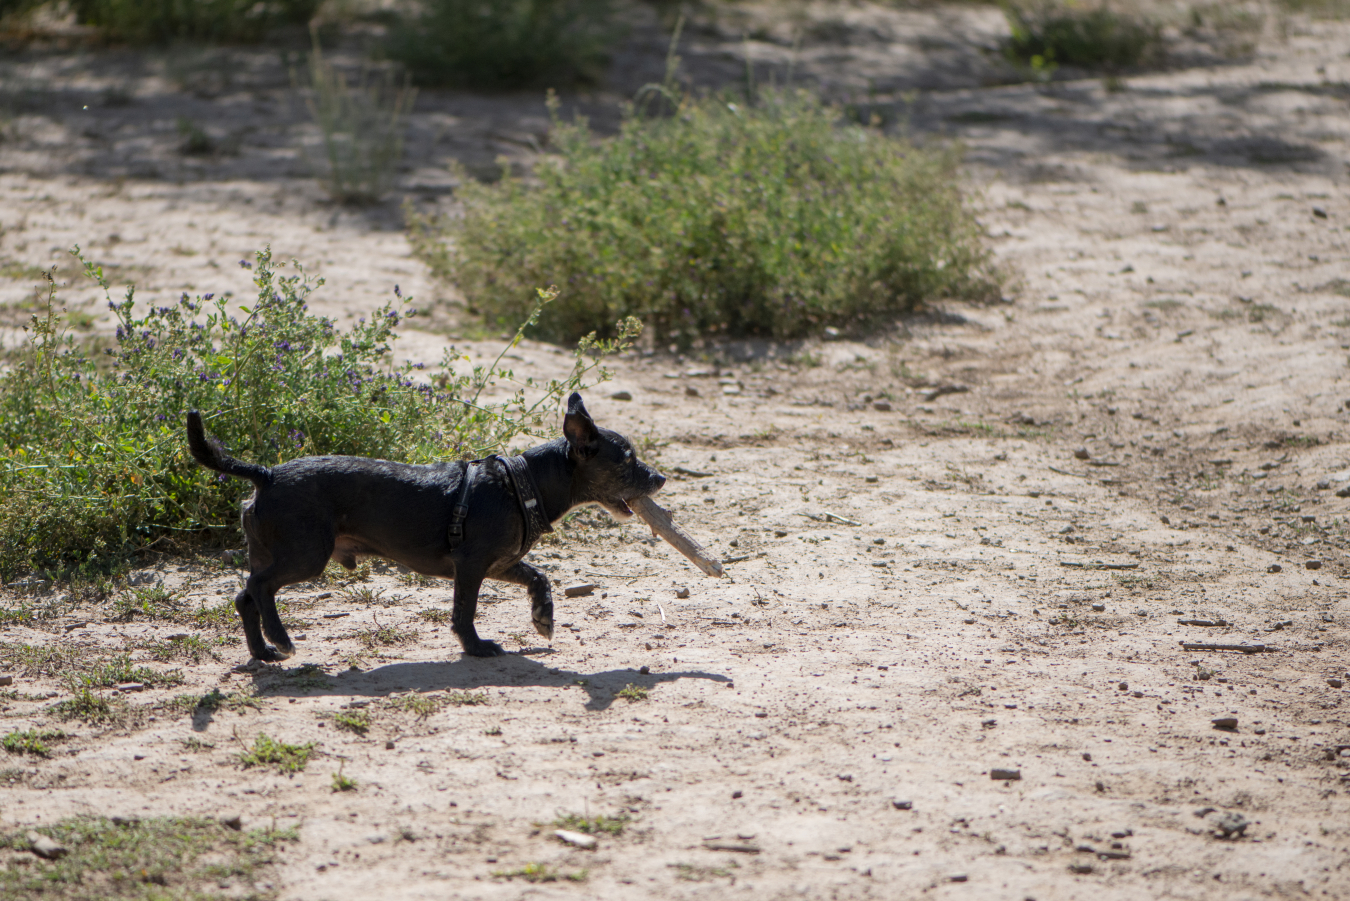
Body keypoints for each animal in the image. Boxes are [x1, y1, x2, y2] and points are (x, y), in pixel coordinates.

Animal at [187, 391, 666, 661]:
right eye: (626, 460)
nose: (661, 478)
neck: (522, 483)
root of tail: (265, 475)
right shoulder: (471, 566)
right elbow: (464, 611)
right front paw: (476, 647)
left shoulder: (499, 562)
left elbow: (539, 576)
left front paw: (543, 615)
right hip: (306, 554)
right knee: (261, 587)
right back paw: (281, 638)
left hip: (274, 551)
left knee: (245, 596)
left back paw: (263, 652)